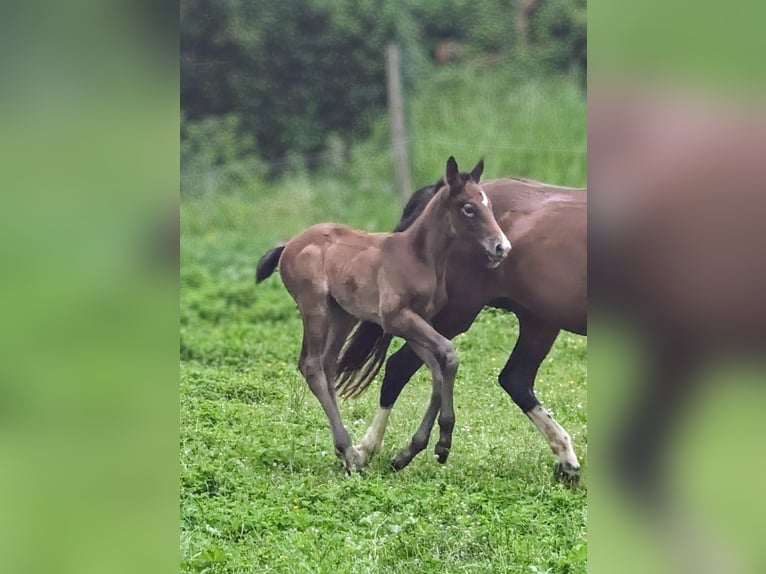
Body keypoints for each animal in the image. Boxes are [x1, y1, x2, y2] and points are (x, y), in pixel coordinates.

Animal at [255, 158, 512, 472]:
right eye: (468, 207)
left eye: (489, 204)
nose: (502, 247)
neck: (418, 256)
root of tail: (289, 244)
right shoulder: (397, 318)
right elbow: (448, 355)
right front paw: (443, 441)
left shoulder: (416, 322)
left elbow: (436, 368)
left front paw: (415, 449)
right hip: (314, 307)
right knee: (312, 366)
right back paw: (349, 452)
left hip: (343, 315)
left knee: (328, 365)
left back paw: (345, 452)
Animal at [336, 178, 588, 484]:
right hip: (454, 315)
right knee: (403, 366)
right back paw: (375, 451)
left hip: (538, 321)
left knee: (514, 379)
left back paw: (567, 462)